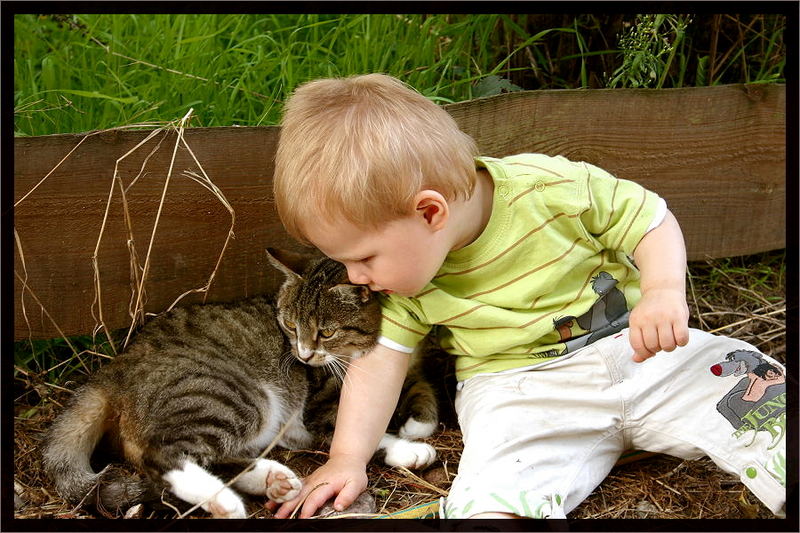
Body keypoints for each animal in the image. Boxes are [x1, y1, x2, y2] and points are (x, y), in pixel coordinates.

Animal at [43, 248, 438, 516]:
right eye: (291, 326)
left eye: (325, 332)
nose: (303, 355)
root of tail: (114, 369)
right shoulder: (320, 406)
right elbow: (355, 430)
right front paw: (408, 447)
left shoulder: (411, 366)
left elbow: (419, 387)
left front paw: (420, 421)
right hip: (232, 395)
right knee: (166, 456)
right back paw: (226, 502)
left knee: (215, 457)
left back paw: (271, 479)